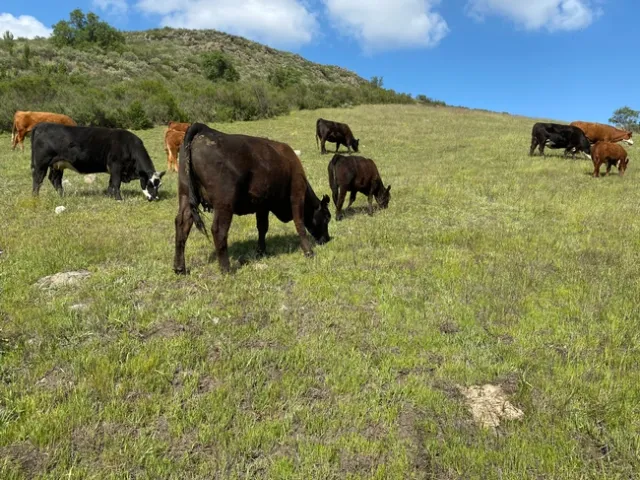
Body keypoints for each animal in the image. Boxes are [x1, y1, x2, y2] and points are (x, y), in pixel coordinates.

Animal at [31, 123, 165, 201]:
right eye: (149, 184)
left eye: (159, 185)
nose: (155, 198)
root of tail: (41, 125)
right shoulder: (116, 166)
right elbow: (116, 183)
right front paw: (118, 199)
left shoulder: (114, 170)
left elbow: (111, 184)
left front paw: (109, 196)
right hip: (41, 163)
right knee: (38, 179)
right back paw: (36, 198)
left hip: (58, 164)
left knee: (55, 179)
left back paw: (62, 196)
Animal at [174, 123, 332, 274]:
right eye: (327, 217)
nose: (327, 239)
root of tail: (204, 129)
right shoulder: (296, 194)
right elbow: (299, 224)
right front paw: (309, 252)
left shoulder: (262, 205)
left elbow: (262, 227)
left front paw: (261, 251)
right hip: (224, 203)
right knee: (218, 230)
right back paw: (226, 268)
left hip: (185, 195)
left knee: (182, 224)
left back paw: (180, 268)